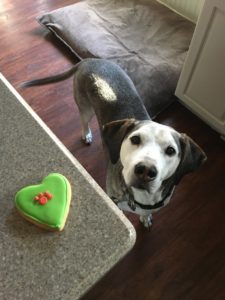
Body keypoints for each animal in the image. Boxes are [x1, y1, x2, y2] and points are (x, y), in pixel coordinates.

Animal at [22, 58, 207, 227]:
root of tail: (89, 60)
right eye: (135, 139)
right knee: (84, 120)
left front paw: (145, 218)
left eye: (170, 150)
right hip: (85, 107)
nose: (145, 170)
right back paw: (86, 134)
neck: (141, 198)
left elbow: (147, 213)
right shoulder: (114, 198)